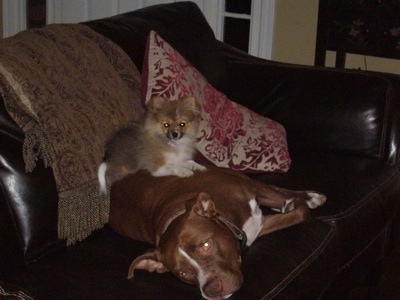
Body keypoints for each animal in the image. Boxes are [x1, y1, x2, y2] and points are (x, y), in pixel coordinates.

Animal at [108, 168, 324, 298]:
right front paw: (292, 206)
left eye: (206, 245)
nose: (211, 289)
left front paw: (299, 200)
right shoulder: (256, 227)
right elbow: (297, 213)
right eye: (183, 273)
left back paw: (310, 196)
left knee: (274, 188)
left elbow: (296, 207)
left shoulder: (249, 188)